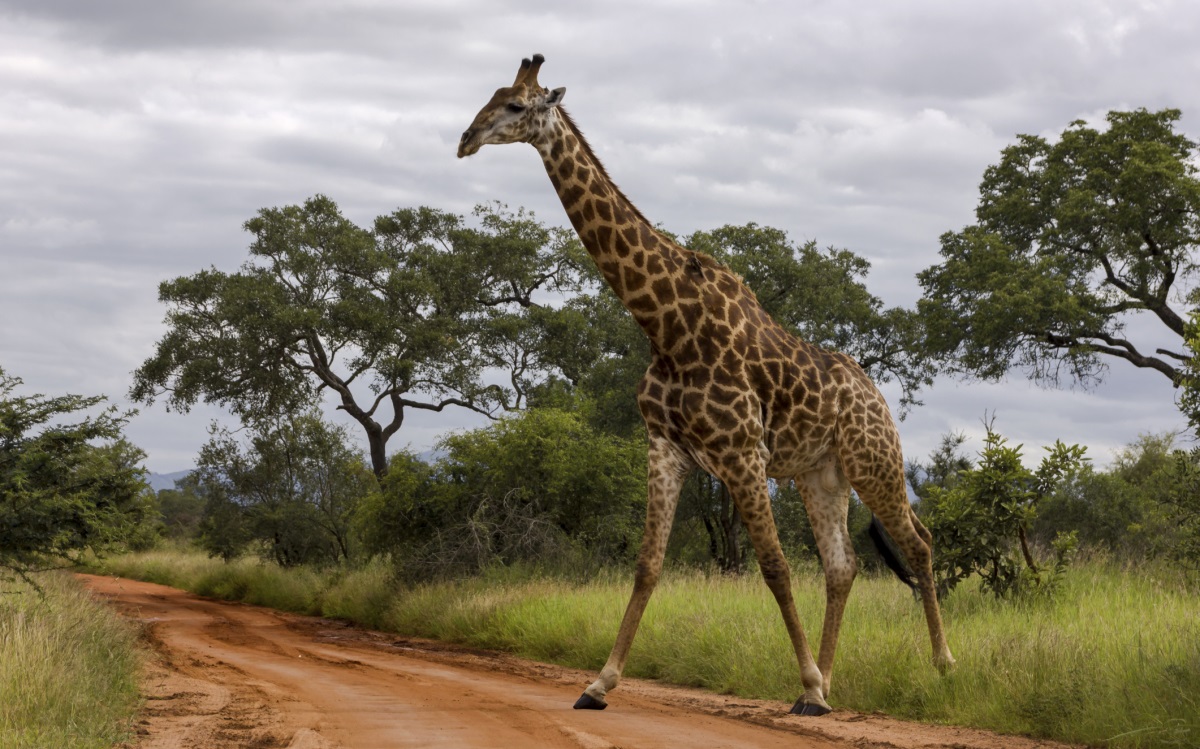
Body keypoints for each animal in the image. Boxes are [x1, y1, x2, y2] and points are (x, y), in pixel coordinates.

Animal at [458, 54, 955, 720]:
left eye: (515, 105)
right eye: (489, 96)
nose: (465, 139)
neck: (667, 325)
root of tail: (878, 397)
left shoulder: (742, 452)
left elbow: (774, 567)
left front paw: (805, 683)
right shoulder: (666, 448)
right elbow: (647, 566)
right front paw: (599, 683)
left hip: (873, 460)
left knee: (918, 543)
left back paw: (939, 666)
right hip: (820, 473)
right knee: (842, 565)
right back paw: (826, 685)